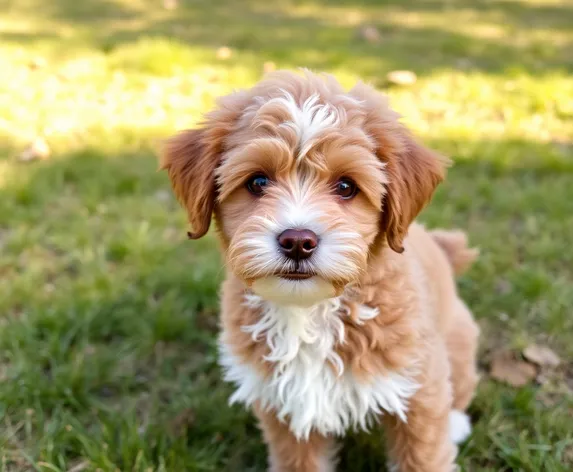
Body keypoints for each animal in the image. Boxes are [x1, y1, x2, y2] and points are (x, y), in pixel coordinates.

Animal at [160, 70, 478, 472]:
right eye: (258, 182)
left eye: (346, 186)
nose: (298, 241)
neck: (308, 311)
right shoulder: (288, 408)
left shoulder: (419, 389)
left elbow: (424, 458)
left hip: (457, 343)